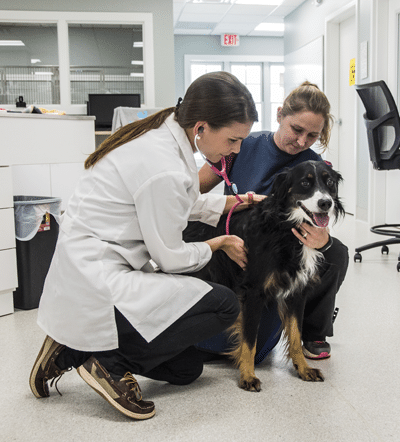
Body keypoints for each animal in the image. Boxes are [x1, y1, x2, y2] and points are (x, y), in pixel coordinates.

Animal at [184, 159, 344, 390]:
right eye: (305, 182)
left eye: (329, 182)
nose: (326, 203)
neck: (287, 228)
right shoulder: (253, 292)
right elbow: (250, 340)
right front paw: (247, 376)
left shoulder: (297, 291)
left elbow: (295, 335)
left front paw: (303, 369)